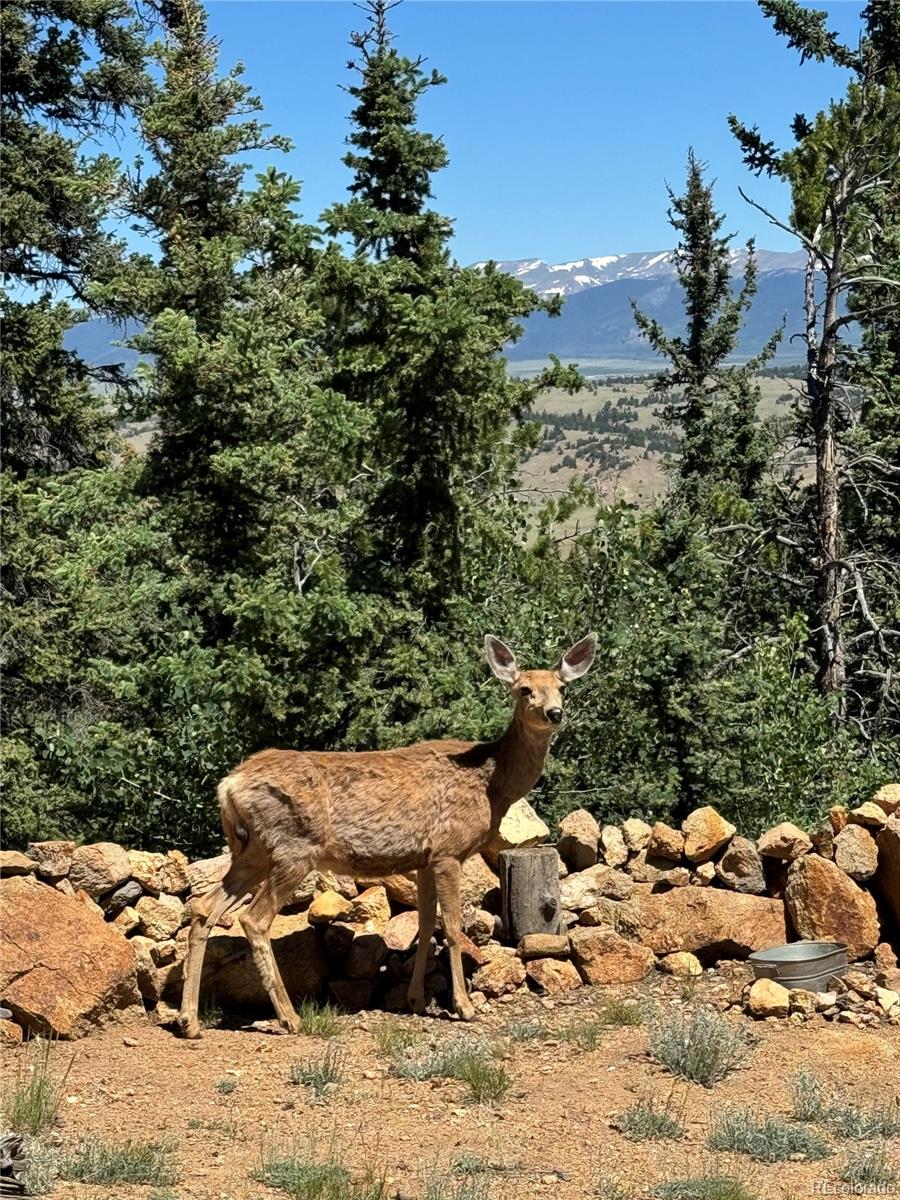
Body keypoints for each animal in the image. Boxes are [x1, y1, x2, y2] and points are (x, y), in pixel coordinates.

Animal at [177, 633, 600, 1036]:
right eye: (524, 689)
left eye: (562, 687)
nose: (555, 713)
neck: (492, 783)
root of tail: (228, 785)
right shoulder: (449, 851)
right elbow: (452, 926)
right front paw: (464, 1007)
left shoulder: (426, 859)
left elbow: (426, 924)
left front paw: (415, 1000)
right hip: (293, 847)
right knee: (254, 919)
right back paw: (289, 1018)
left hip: (250, 851)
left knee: (203, 908)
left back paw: (190, 1022)